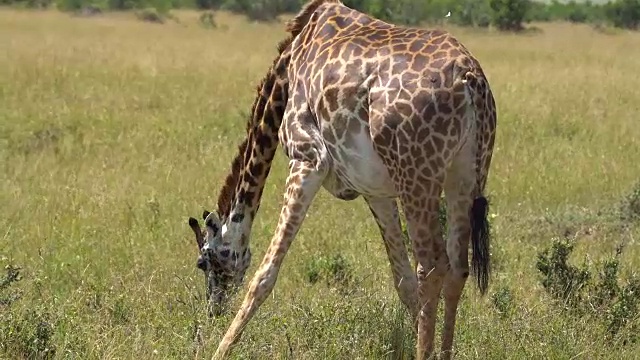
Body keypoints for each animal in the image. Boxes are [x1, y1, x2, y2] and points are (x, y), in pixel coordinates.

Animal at [201, 0, 500, 360]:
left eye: (204, 260)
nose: (213, 308)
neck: (285, 74)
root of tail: (470, 79)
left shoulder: (308, 159)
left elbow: (265, 274)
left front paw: (220, 350)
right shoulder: (376, 191)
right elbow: (403, 282)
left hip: (417, 177)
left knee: (432, 265)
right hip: (464, 175)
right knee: (457, 268)